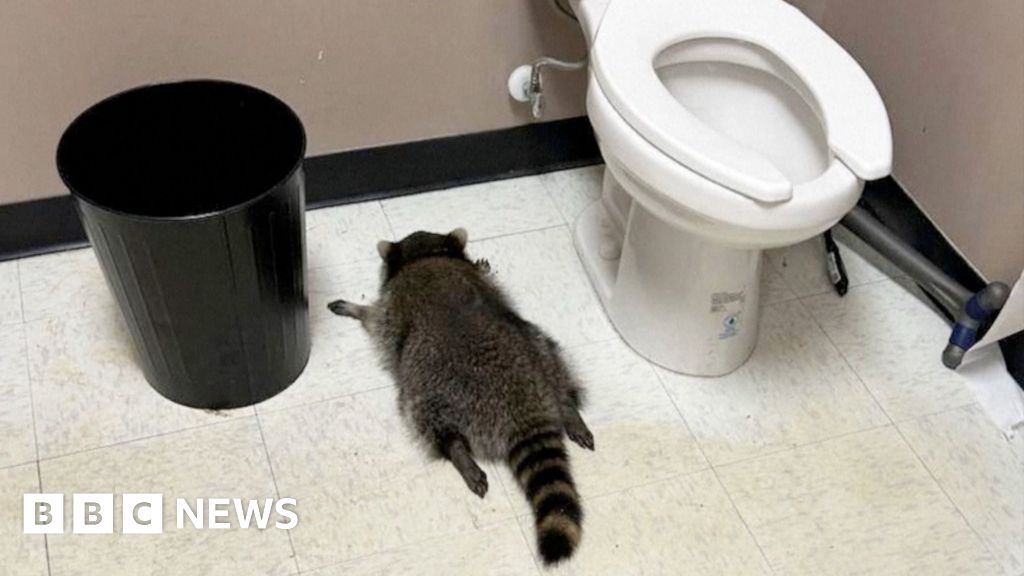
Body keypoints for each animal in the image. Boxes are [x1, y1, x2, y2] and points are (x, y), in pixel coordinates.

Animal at [328, 228, 594, 565]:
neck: (427, 255)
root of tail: (524, 406)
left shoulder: (391, 308)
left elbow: (374, 318)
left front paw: (356, 309)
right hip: (539, 348)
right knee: (555, 364)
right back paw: (569, 408)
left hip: (432, 388)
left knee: (427, 419)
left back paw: (456, 451)